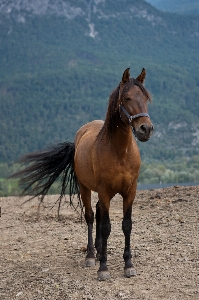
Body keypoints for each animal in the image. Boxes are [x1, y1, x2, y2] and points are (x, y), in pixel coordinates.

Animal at [10, 68, 154, 282]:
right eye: (127, 97)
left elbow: (126, 225)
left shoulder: (130, 191)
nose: (146, 129)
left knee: (99, 213)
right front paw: (103, 268)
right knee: (91, 216)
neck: (119, 152)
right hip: (85, 188)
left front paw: (128, 265)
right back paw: (92, 255)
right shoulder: (104, 191)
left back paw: (99, 250)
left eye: (146, 97)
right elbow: (105, 226)